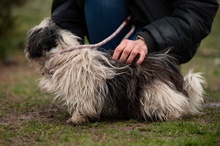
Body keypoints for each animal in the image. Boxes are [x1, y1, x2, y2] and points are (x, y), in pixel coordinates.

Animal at [24, 17, 205, 124]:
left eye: (31, 39)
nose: (25, 50)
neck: (66, 56)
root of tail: (167, 61)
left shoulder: (83, 89)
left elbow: (82, 104)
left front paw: (77, 118)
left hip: (154, 88)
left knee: (174, 100)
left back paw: (172, 114)